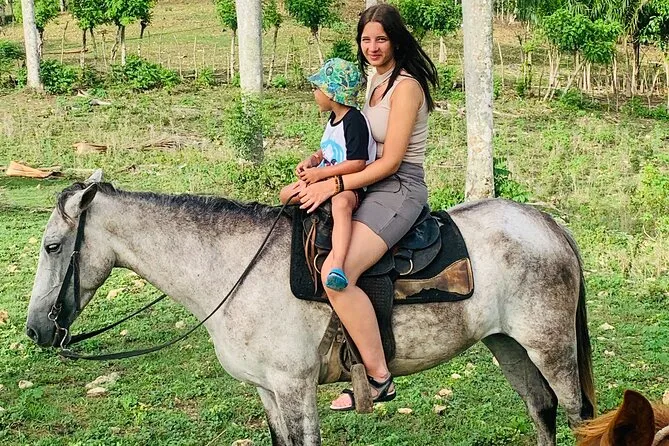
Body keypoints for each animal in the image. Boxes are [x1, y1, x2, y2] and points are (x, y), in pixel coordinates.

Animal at [25, 172, 596, 446]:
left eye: (52, 246)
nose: (35, 330)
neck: (236, 270)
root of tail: (548, 224)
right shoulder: (267, 390)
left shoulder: (295, 387)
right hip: (507, 344)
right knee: (541, 409)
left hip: (550, 347)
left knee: (575, 414)